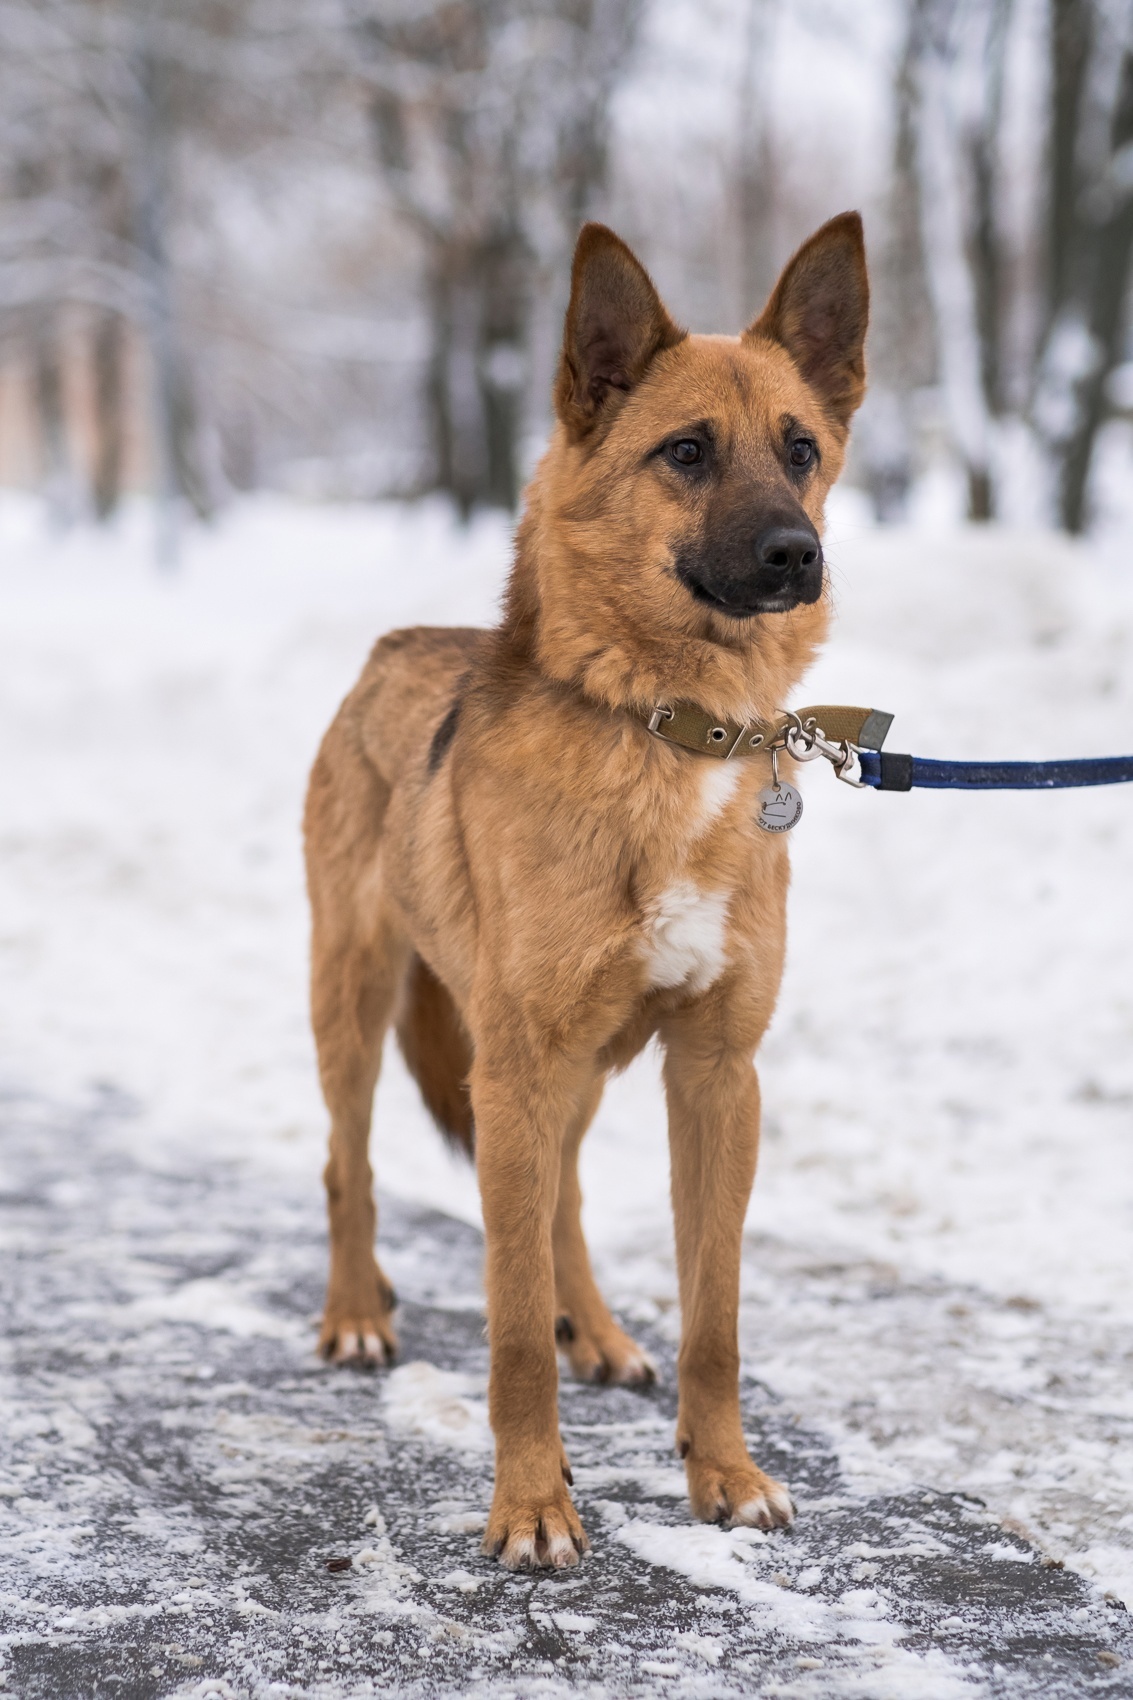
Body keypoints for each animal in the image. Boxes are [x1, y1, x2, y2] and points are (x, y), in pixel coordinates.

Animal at [299, 209, 864, 1564]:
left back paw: (597, 1329)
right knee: (352, 1166)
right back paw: (356, 1312)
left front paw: (724, 1473)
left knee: (555, 1202)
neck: (668, 729)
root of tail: (397, 644)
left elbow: (713, 1314)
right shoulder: (515, 1063)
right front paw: (530, 1505)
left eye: (801, 448)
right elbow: (509, 1332)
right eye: (685, 451)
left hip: (578, 1066)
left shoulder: (714, 1074)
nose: (798, 554)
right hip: (361, 1004)